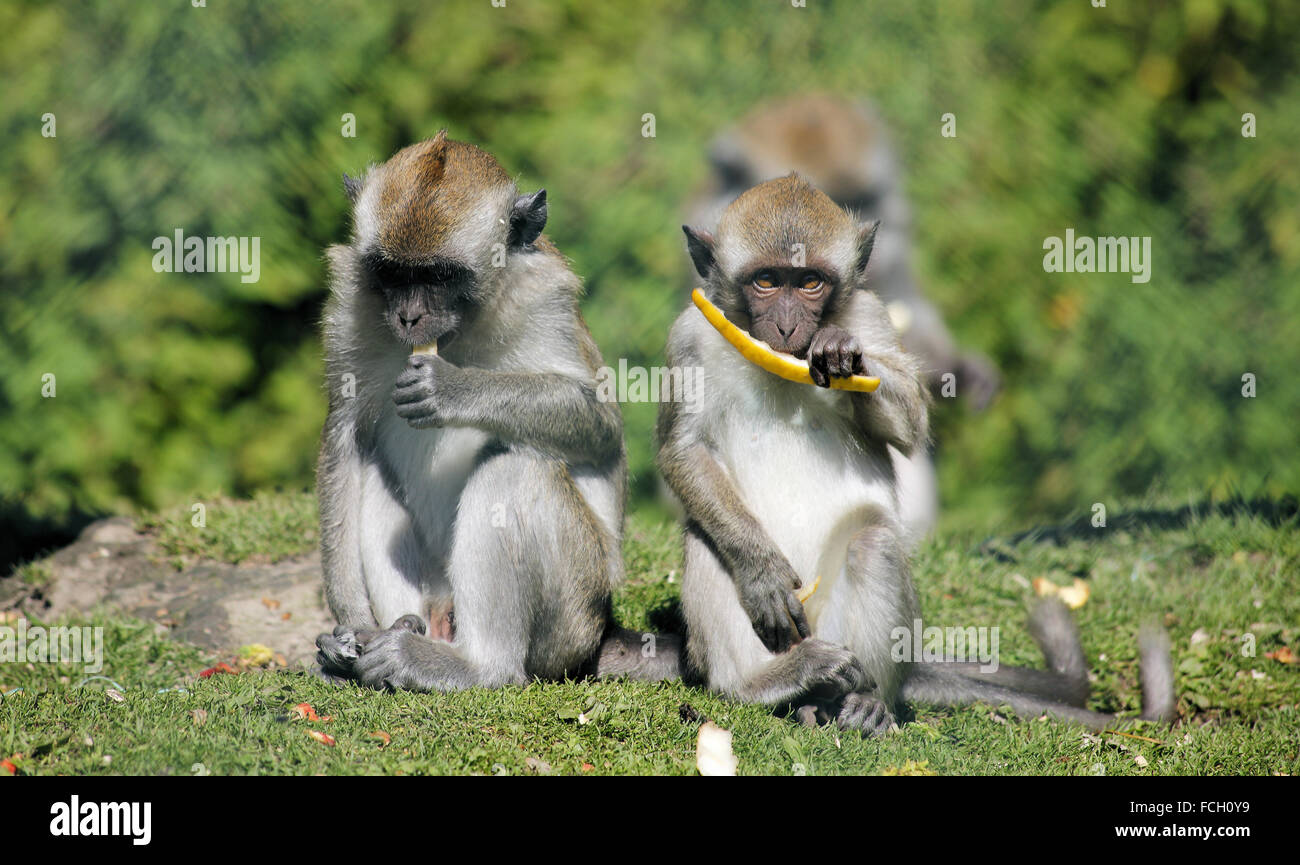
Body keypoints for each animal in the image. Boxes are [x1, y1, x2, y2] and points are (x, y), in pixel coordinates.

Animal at [317, 131, 681, 692]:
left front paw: (453, 388)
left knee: (515, 467)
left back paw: (473, 666)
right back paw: (394, 636)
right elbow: (346, 436)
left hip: (572, 614)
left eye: (441, 275)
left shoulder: (543, 298)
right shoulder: (352, 300)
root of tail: (601, 632)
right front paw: (350, 626)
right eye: (392, 272)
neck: (463, 328)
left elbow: (597, 424)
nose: (408, 316)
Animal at [660, 176, 1180, 733]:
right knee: (707, 538)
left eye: (809, 283)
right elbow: (682, 451)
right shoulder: (688, 336)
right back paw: (768, 683)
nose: (785, 327)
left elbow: (909, 424)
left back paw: (865, 700)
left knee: (873, 543)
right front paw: (762, 574)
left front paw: (842, 354)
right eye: (766, 281)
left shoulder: (870, 315)